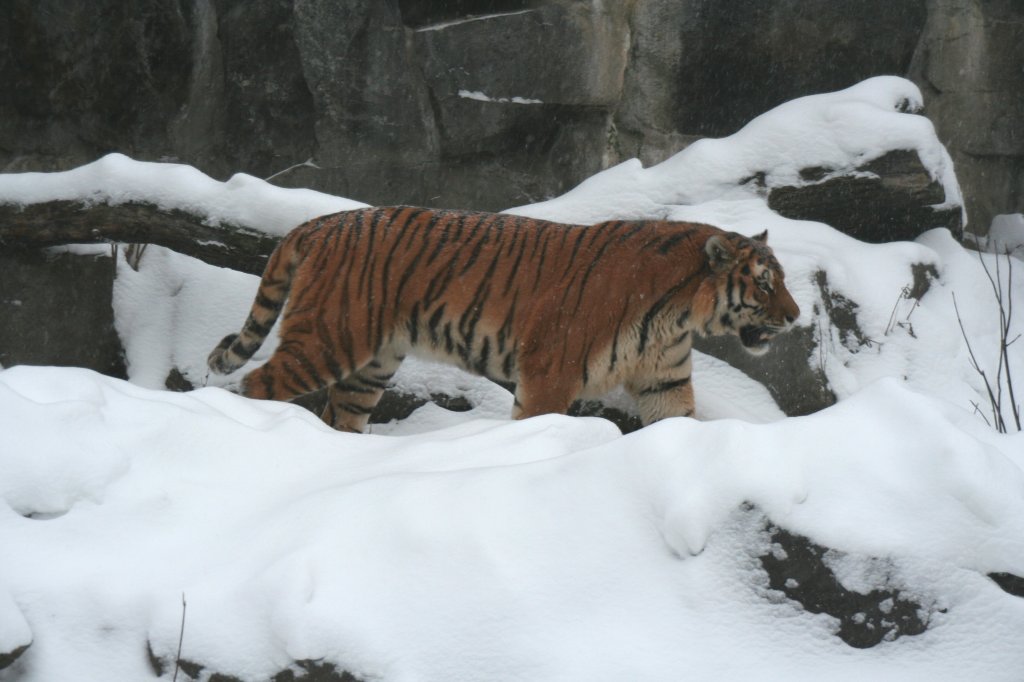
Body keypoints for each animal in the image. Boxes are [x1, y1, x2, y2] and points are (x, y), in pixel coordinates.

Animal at [207, 204, 798, 432]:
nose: (794, 317)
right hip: (328, 340)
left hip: (370, 366)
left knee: (340, 417)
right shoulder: (551, 375)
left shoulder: (664, 382)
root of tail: (321, 221)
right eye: (765, 283)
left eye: (783, 279)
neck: (679, 314)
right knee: (254, 386)